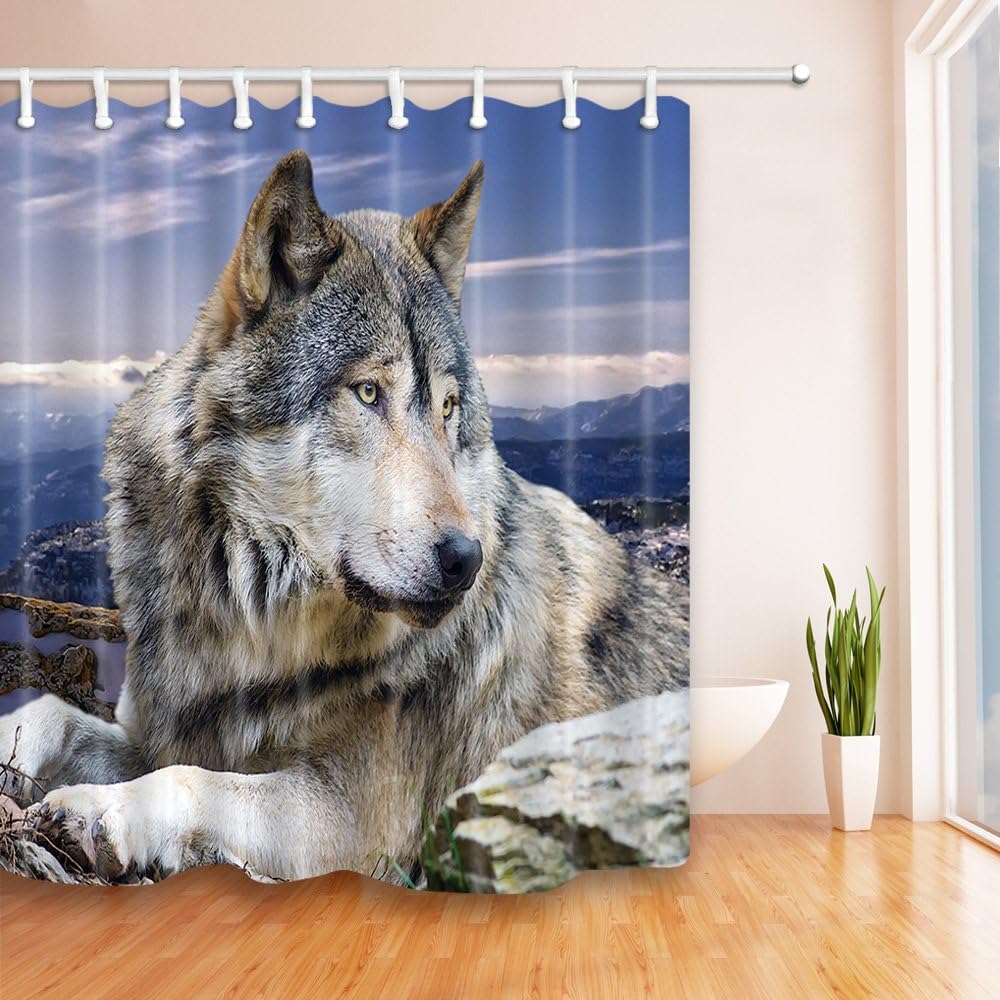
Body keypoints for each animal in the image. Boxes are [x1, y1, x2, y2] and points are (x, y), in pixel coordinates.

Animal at [0, 152, 688, 883]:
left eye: (448, 407)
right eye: (367, 392)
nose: (465, 560)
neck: (248, 626)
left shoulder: (355, 820)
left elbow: (191, 780)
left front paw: (100, 811)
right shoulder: (162, 731)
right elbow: (52, 712)